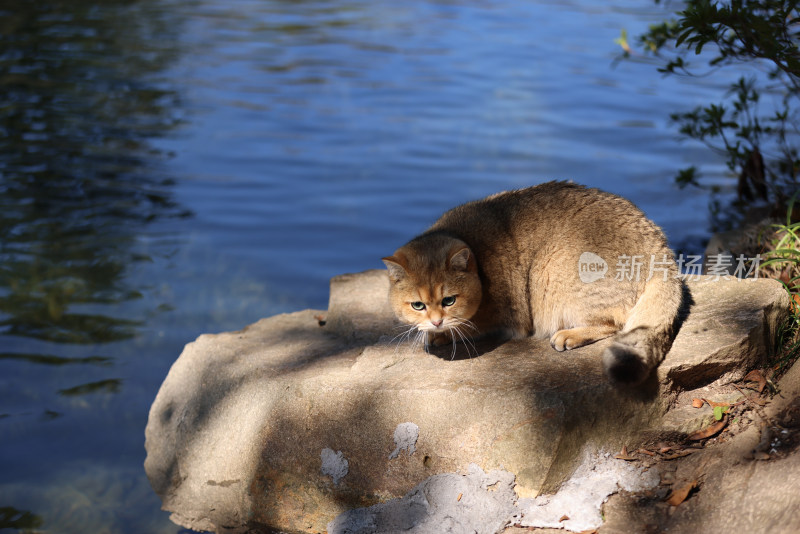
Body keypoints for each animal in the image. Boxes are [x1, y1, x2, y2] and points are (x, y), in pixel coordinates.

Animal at [384, 182, 684, 388]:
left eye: (449, 300)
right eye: (417, 305)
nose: (435, 321)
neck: (478, 259)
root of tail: (660, 248)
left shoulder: (505, 316)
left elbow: (467, 326)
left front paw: (442, 334)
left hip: (553, 266)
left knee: (616, 323)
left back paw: (570, 335)